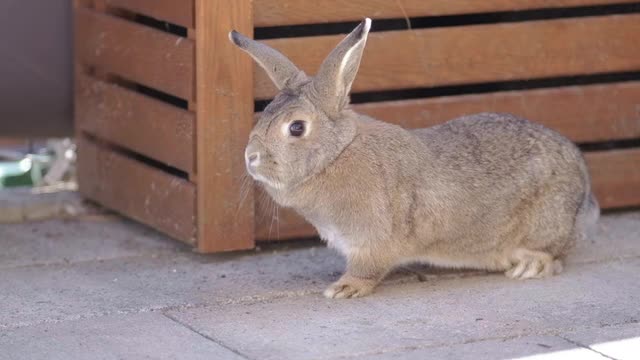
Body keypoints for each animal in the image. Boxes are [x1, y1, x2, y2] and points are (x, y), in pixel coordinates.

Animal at [229, 17, 600, 298]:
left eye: (296, 128)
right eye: (264, 115)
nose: (251, 158)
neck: (337, 155)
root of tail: (585, 190)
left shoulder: (373, 241)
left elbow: (368, 269)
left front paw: (344, 288)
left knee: (554, 256)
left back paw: (529, 266)